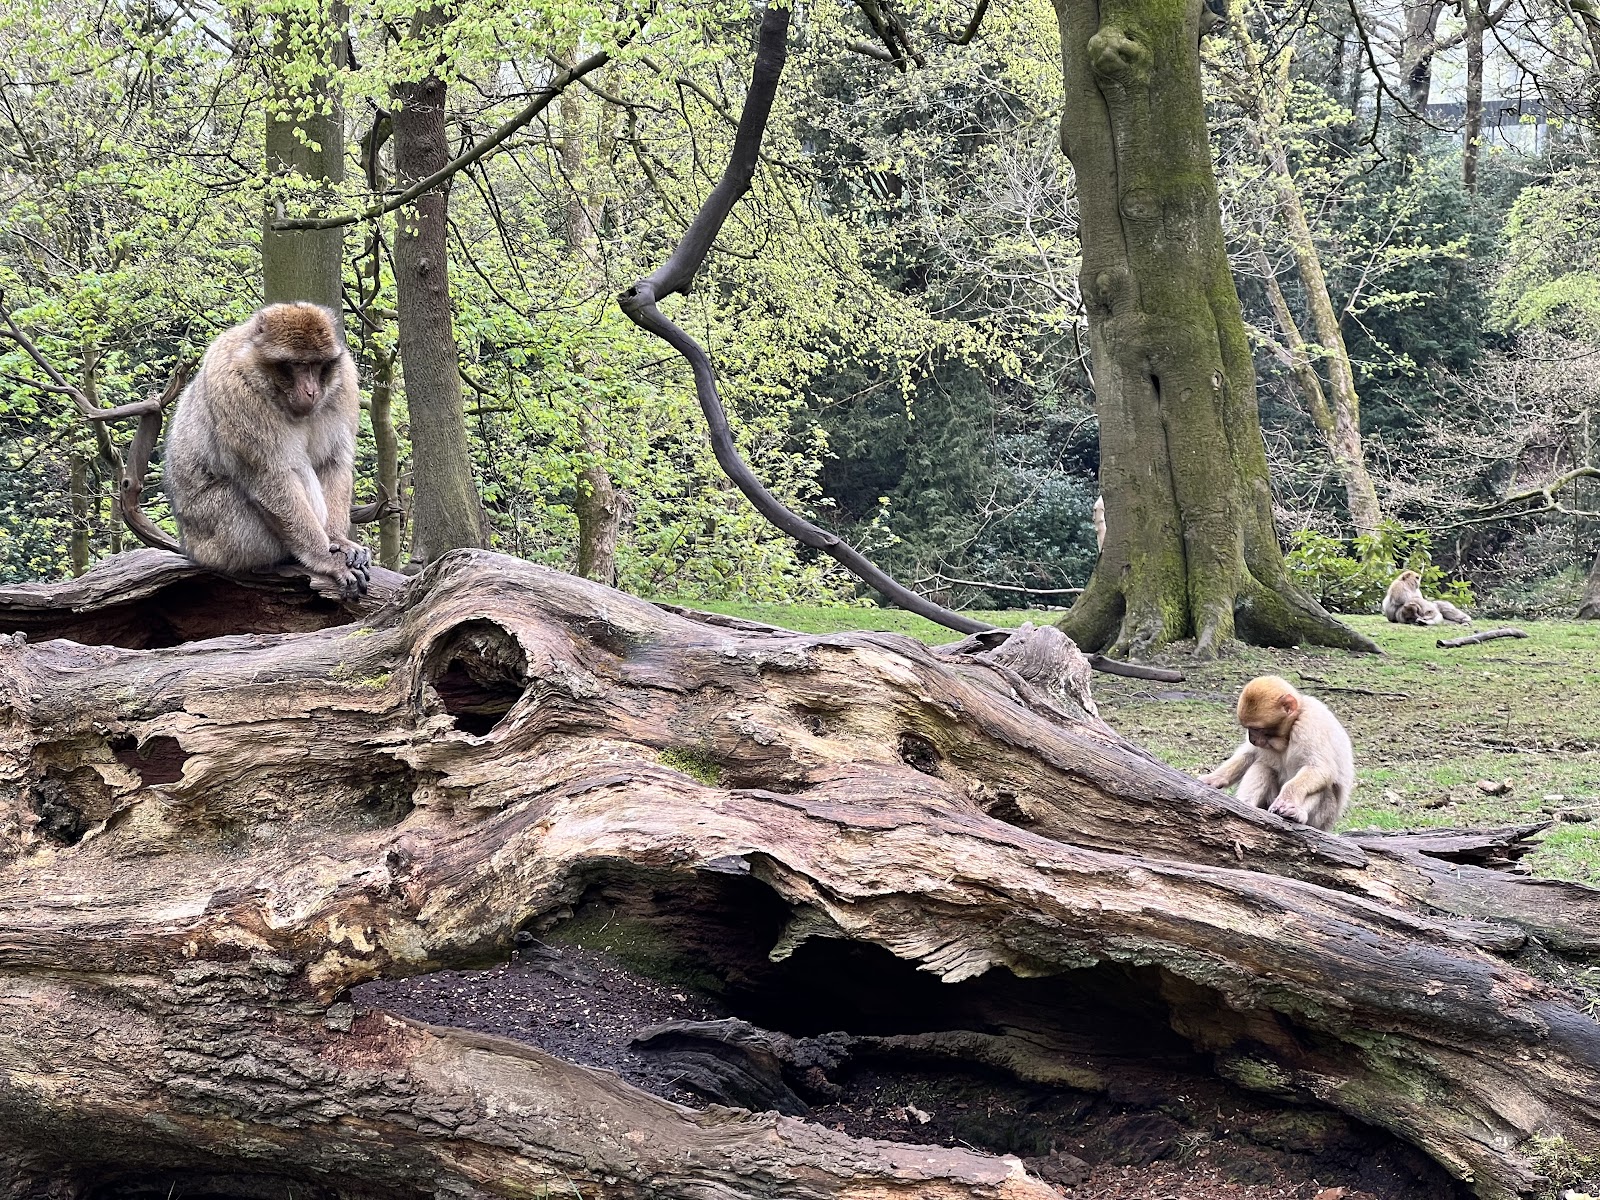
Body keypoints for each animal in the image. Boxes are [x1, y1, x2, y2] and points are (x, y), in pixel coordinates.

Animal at [165, 303, 370, 598]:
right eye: (297, 365)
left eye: (317, 365)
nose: (311, 391)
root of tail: (190, 547)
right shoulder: (237, 392)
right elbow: (270, 475)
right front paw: (325, 558)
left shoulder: (344, 382)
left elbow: (333, 461)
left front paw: (337, 540)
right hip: (224, 536)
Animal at [1199, 675, 1354, 832]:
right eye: (1248, 728)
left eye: (1257, 729)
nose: (1252, 738)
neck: (1290, 731)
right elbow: (1250, 754)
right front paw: (1213, 779)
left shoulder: (1309, 725)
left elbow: (1320, 768)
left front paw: (1287, 800)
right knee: (1263, 766)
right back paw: (1245, 804)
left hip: (1323, 817)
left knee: (1325, 787)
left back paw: (1297, 813)